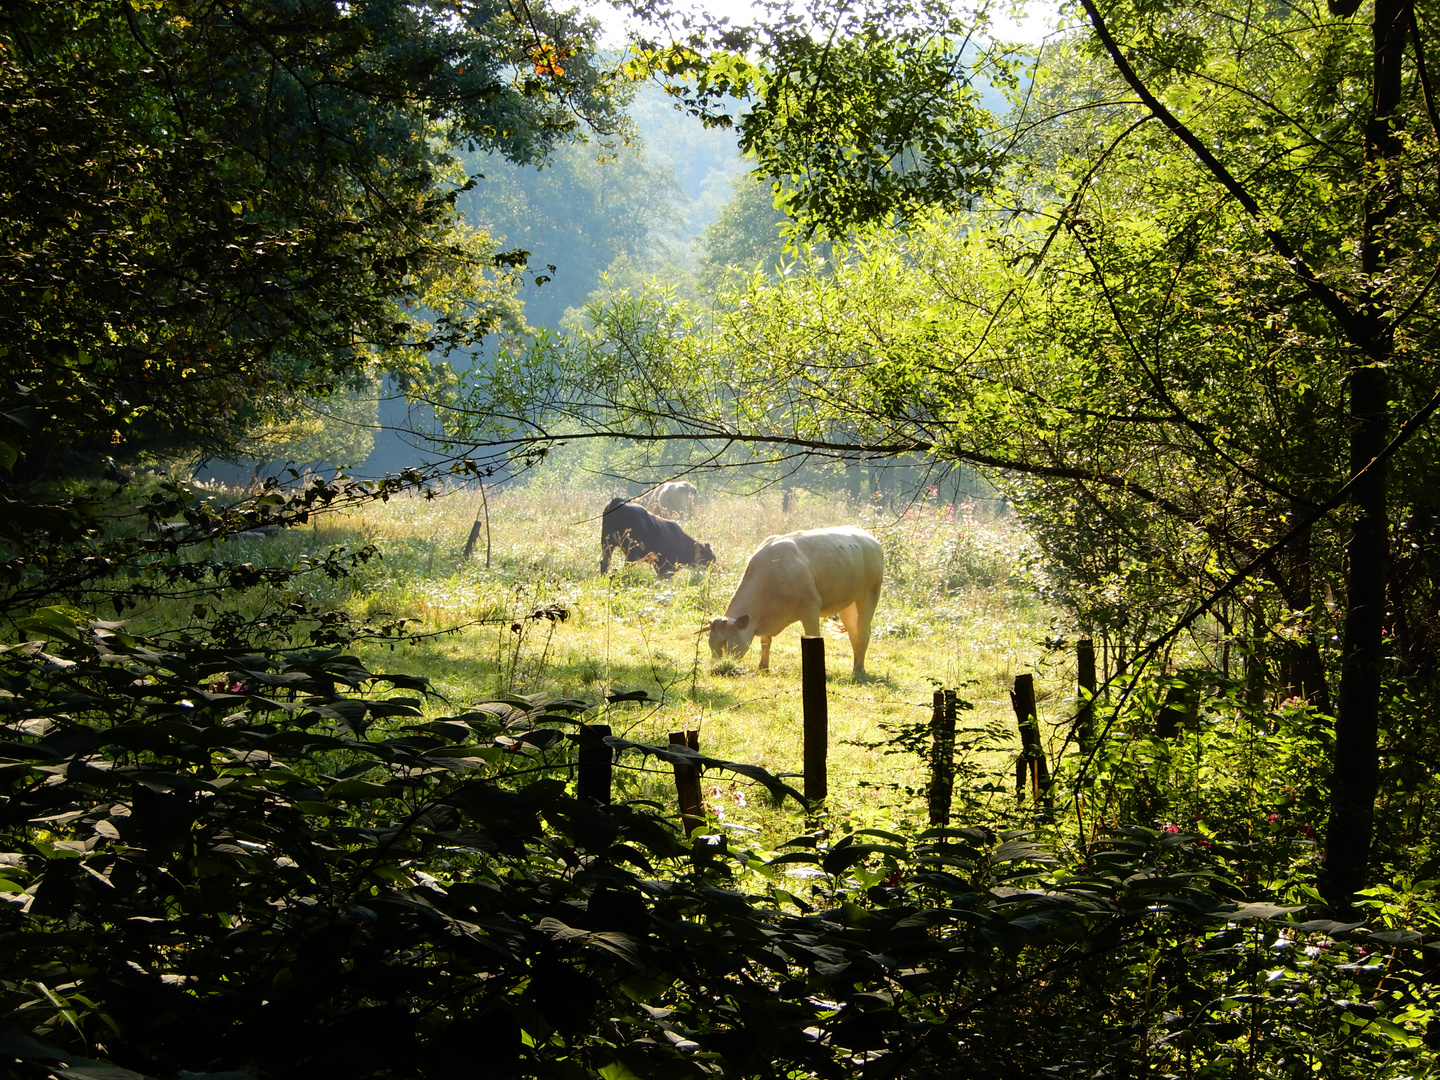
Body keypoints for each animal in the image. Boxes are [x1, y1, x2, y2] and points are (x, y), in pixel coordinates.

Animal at [702, 524, 881, 676]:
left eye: (724, 643)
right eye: (710, 644)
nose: (716, 668)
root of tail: (869, 538)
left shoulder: (810, 609)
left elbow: (814, 636)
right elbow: (765, 642)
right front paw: (763, 667)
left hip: (870, 594)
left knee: (863, 632)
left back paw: (859, 670)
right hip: (847, 604)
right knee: (853, 633)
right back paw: (856, 666)